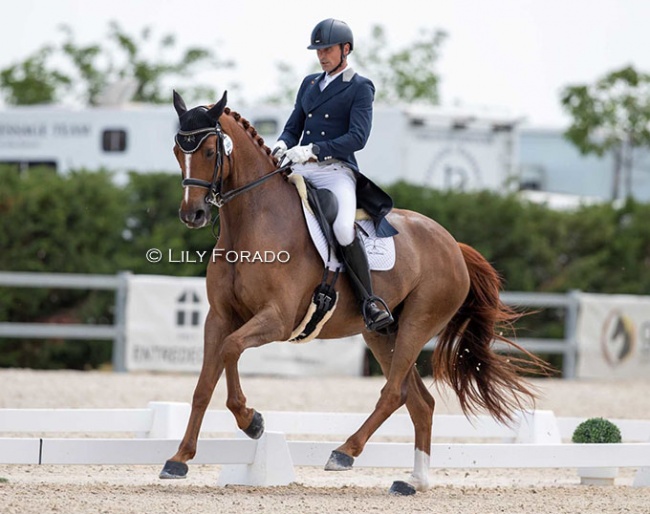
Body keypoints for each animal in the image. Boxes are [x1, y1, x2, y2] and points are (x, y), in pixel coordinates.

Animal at [159, 91, 544, 492]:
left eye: (208, 151)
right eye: (177, 150)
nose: (193, 214)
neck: (252, 222)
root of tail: (453, 244)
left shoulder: (278, 319)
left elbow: (232, 349)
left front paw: (252, 421)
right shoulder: (218, 318)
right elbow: (204, 385)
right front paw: (179, 459)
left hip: (418, 323)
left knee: (394, 393)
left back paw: (345, 453)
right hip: (382, 334)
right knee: (419, 401)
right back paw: (414, 481)